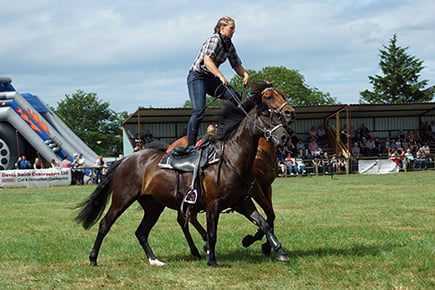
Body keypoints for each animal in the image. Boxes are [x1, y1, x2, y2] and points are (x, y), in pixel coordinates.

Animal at [76, 80, 296, 266]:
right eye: (266, 113)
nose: (285, 136)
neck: (231, 159)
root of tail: (127, 159)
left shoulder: (243, 201)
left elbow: (265, 222)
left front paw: (278, 250)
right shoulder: (214, 204)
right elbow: (213, 232)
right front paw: (212, 259)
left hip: (154, 205)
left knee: (143, 232)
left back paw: (155, 260)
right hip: (122, 199)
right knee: (105, 224)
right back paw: (93, 259)